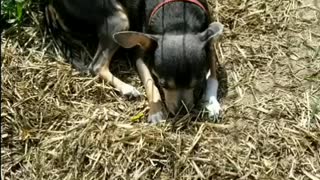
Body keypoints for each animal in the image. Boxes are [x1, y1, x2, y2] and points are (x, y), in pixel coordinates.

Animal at [43, 0, 224, 124]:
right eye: (163, 84)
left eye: (198, 82)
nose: (181, 112)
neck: (178, 21)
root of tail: (49, 3)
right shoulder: (140, 55)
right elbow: (150, 82)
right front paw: (156, 112)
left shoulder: (210, 47)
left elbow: (213, 77)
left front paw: (211, 102)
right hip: (119, 19)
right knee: (96, 66)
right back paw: (127, 88)